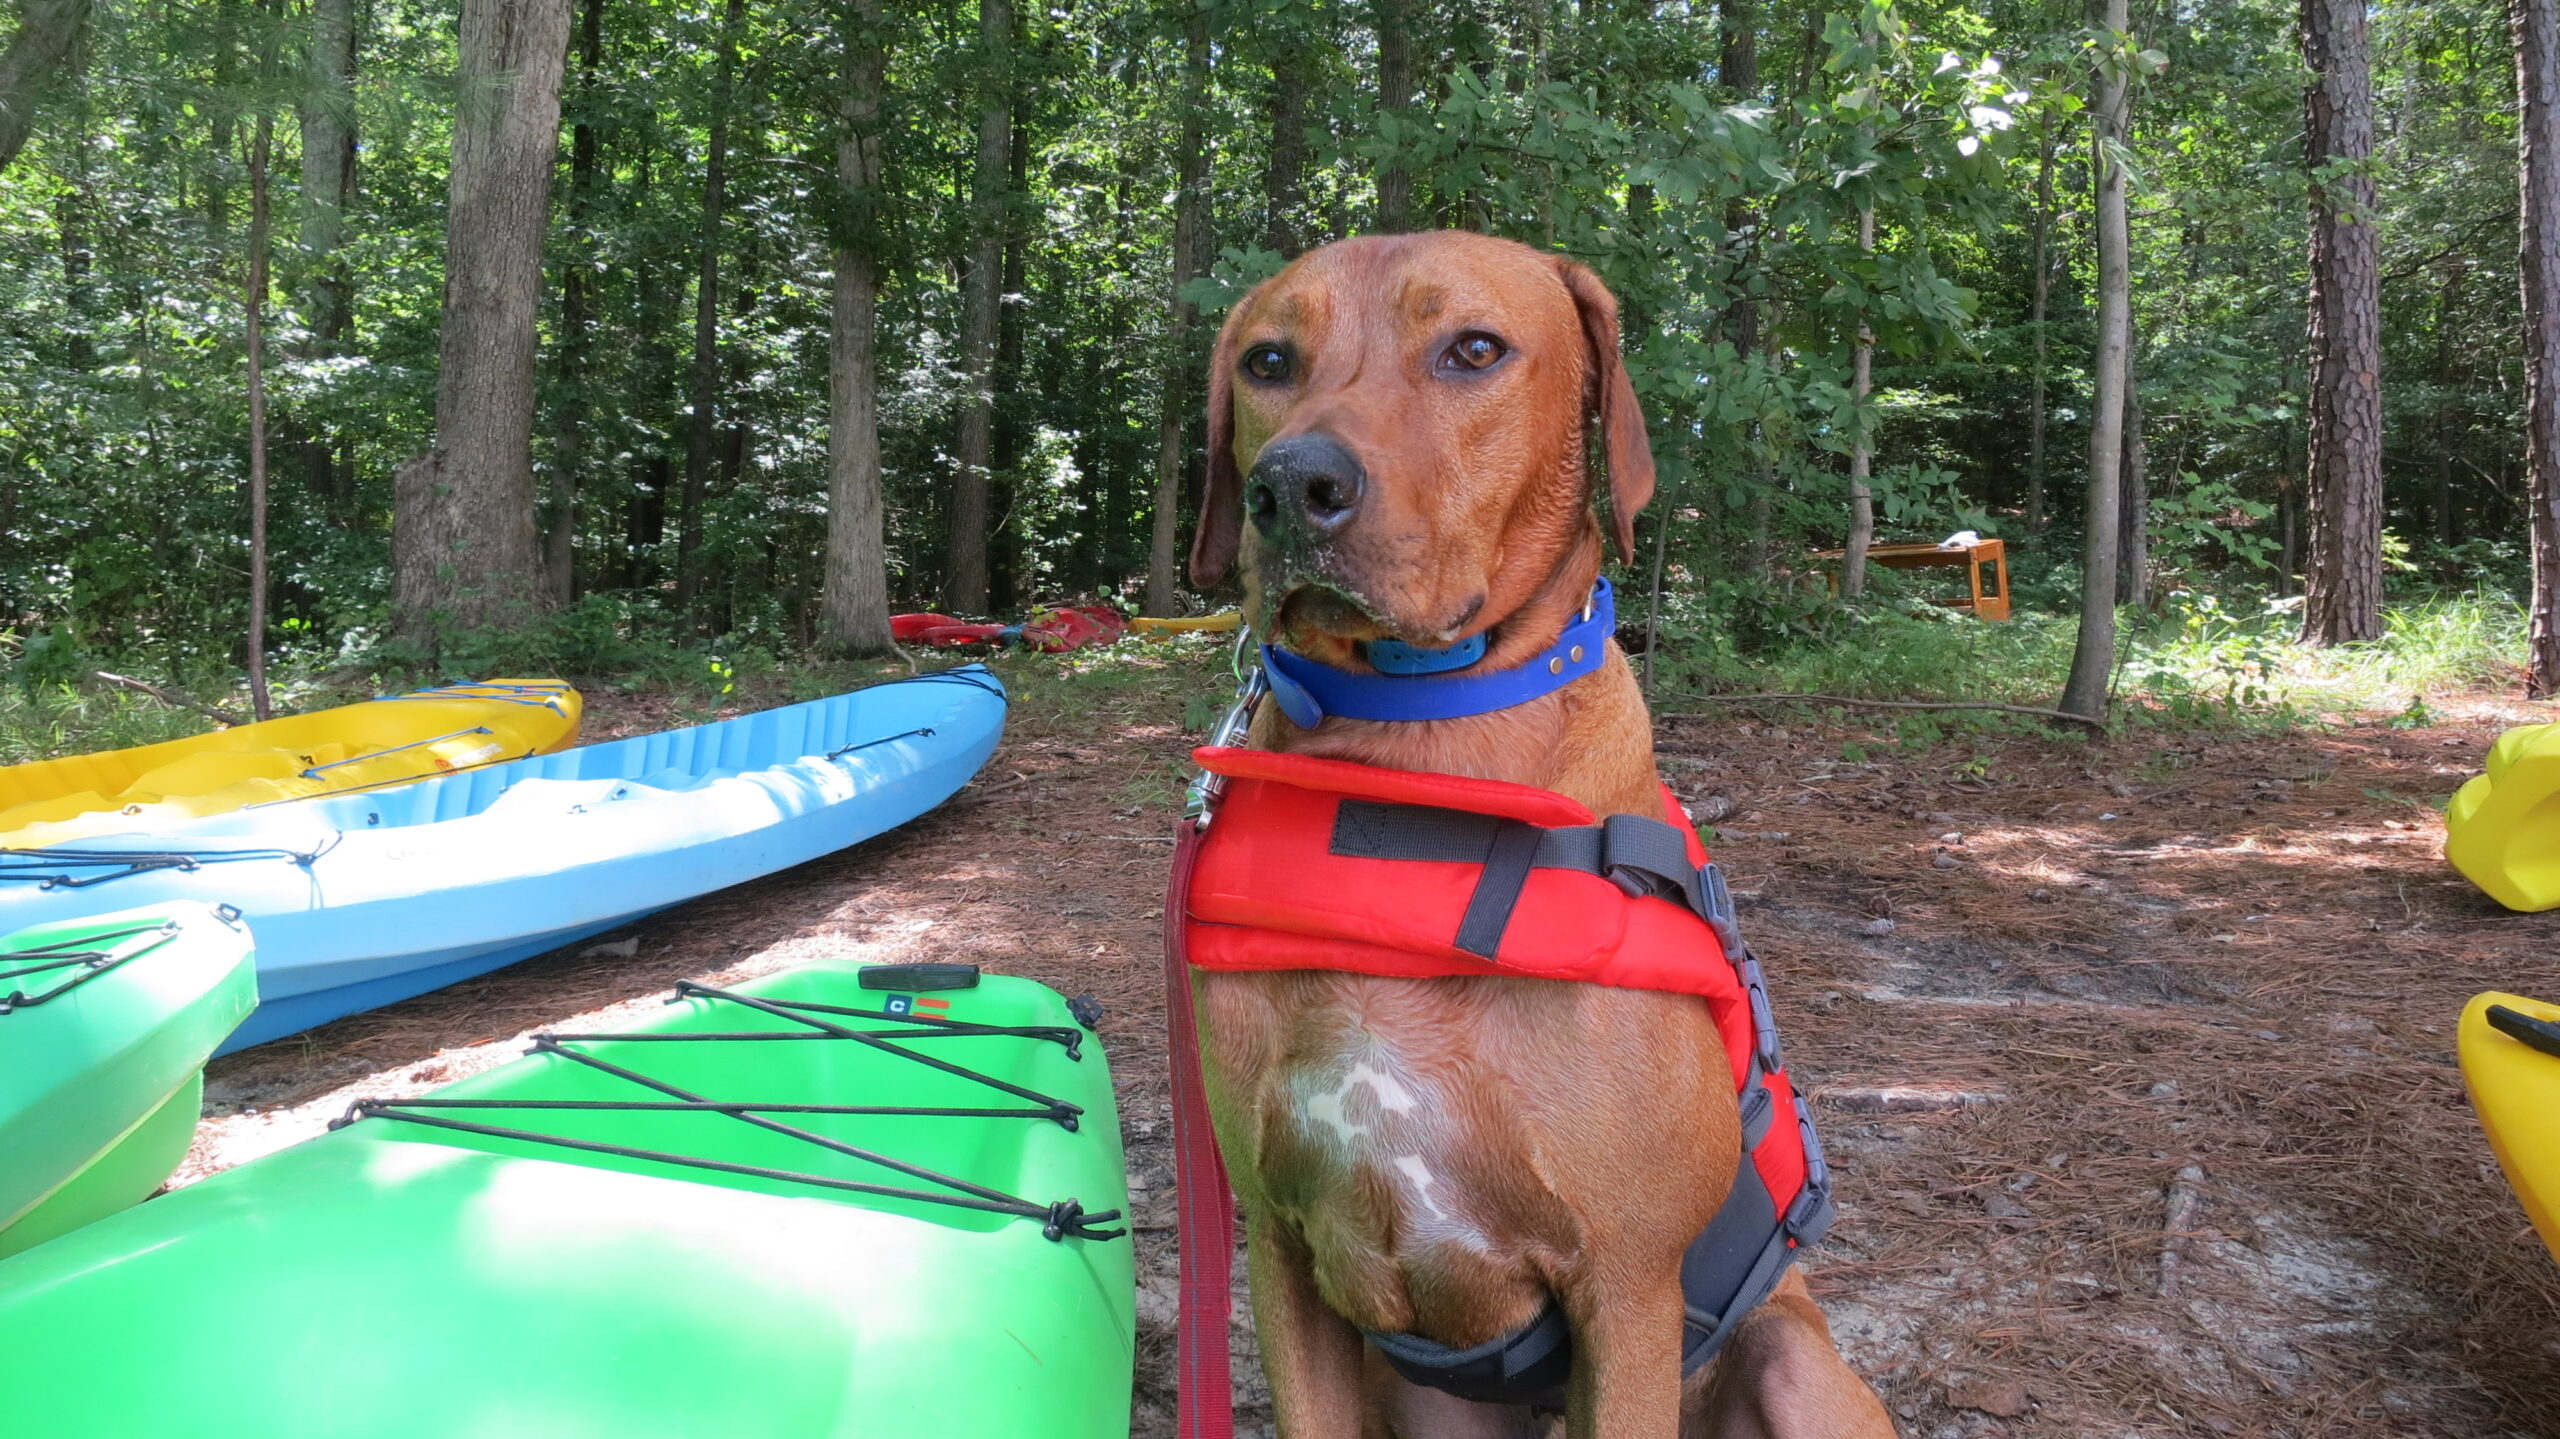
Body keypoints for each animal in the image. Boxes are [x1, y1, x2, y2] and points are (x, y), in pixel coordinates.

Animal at [1182, 229, 1904, 1423]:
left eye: (1474, 350)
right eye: (1268, 361)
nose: (1290, 483)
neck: (1416, 775)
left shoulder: (1627, 1286)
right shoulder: (1280, 1259)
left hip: (1791, 1360)